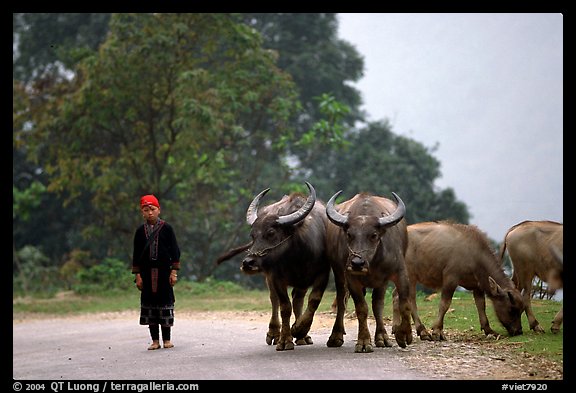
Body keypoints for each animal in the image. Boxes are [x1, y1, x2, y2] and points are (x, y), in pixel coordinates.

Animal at [216, 182, 332, 350]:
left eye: (271, 233)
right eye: (252, 235)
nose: (248, 263)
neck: (298, 256)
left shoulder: (323, 273)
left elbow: (313, 301)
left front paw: (299, 329)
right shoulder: (276, 276)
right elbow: (284, 306)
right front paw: (285, 339)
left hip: (302, 282)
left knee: (298, 300)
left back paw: (303, 336)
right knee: (274, 299)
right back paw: (274, 333)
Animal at [324, 191, 414, 352]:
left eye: (373, 235)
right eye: (349, 234)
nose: (357, 263)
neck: (372, 263)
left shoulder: (400, 272)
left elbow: (404, 303)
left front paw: (403, 334)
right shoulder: (351, 278)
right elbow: (361, 308)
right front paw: (364, 341)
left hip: (381, 282)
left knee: (378, 305)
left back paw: (382, 337)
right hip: (339, 275)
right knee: (341, 301)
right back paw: (336, 336)